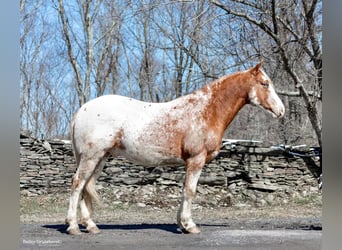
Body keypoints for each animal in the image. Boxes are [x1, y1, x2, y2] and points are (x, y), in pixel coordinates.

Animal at [65, 62, 284, 234]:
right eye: (264, 84)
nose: (281, 111)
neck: (206, 111)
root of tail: (82, 110)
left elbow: (184, 190)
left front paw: (181, 224)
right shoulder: (196, 159)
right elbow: (190, 191)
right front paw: (190, 225)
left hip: (100, 158)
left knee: (86, 185)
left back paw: (91, 225)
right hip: (91, 157)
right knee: (77, 183)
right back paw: (73, 226)